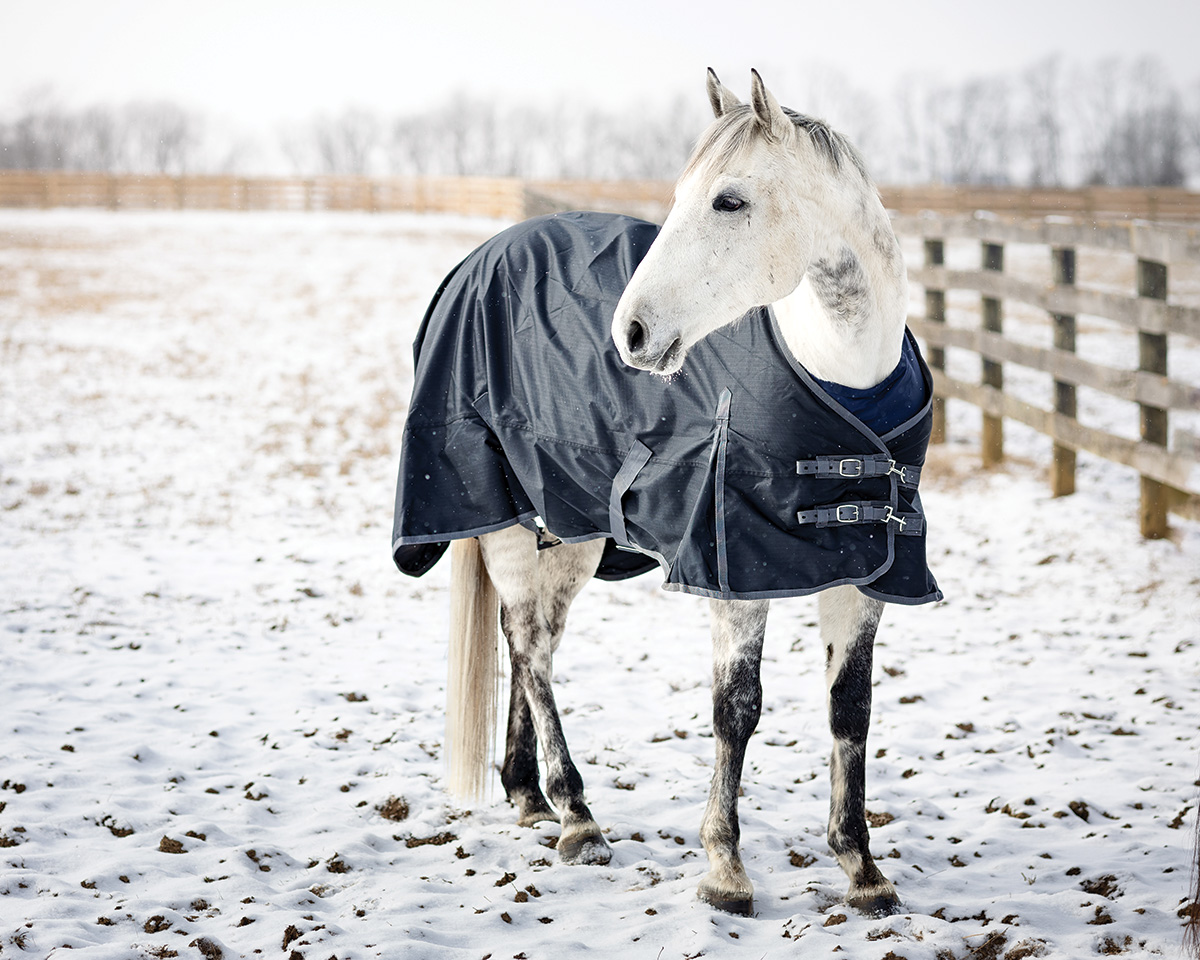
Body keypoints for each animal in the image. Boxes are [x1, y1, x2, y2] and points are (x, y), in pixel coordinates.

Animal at [392, 69, 938, 917]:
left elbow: (851, 709)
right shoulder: (735, 569)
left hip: (569, 533)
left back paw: (527, 794)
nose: (632, 334)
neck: (844, 388)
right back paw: (575, 815)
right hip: (509, 526)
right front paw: (725, 870)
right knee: (532, 650)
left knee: (527, 643)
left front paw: (861, 868)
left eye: (729, 200)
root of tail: (478, 260)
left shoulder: (866, 571)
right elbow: (736, 709)